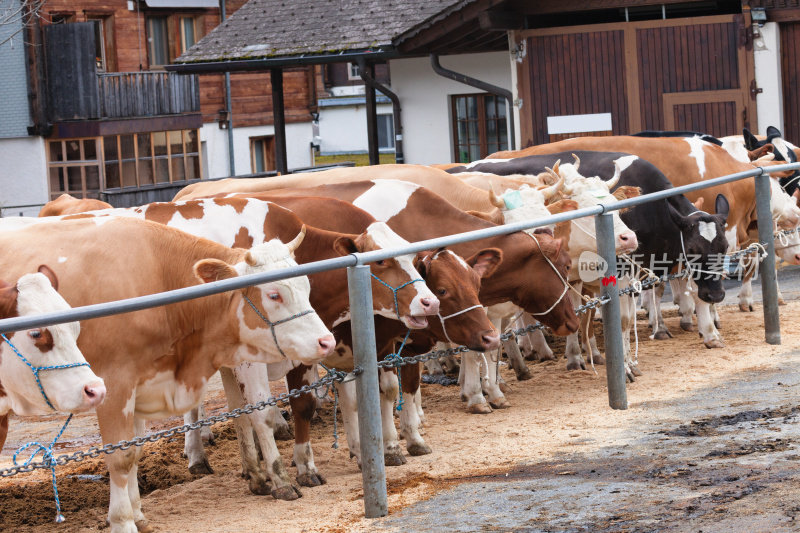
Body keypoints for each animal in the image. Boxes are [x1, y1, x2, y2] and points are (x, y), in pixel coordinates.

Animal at [0, 216, 334, 532]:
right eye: (275, 295)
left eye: (306, 286)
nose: (326, 341)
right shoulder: (114, 385)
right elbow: (120, 458)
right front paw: (122, 521)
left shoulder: (141, 383)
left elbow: (134, 451)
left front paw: (138, 515)